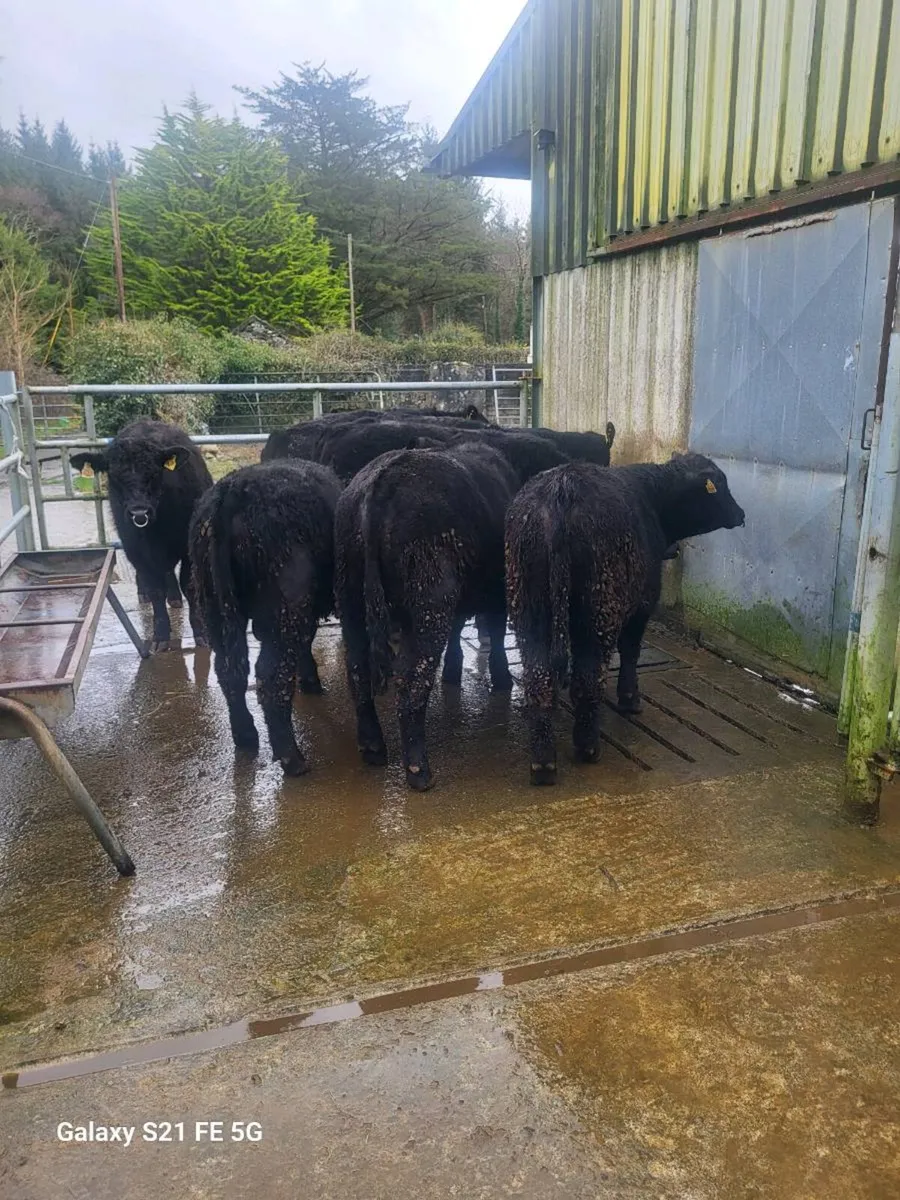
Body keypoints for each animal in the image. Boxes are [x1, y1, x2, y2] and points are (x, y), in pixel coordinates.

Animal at [70, 419, 212, 653]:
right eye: (113, 475)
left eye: (154, 473)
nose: (139, 513)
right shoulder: (136, 549)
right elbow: (156, 590)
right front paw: (160, 636)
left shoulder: (188, 545)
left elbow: (189, 586)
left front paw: (201, 633)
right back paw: (145, 594)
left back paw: (175, 598)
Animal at [189, 460, 342, 776]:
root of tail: (234, 489)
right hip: (287, 609)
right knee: (271, 676)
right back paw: (292, 758)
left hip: (215, 610)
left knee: (230, 671)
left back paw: (246, 734)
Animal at [335, 440, 533, 792]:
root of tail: (379, 484)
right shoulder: (497, 592)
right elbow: (495, 633)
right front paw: (501, 678)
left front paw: (453, 672)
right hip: (430, 603)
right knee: (411, 681)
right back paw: (418, 770)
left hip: (352, 599)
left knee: (358, 671)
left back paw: (372, 747)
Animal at [505, 452, 745, 785]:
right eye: (720, 484)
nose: (741, 514)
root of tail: (561, 490)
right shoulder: (643, 604)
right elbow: (631, 651)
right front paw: (630, 698)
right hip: (598, 611)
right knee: (588, 677)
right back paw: (588, 747)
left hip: (531, 610)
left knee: (539, 679)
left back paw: (543, 763)